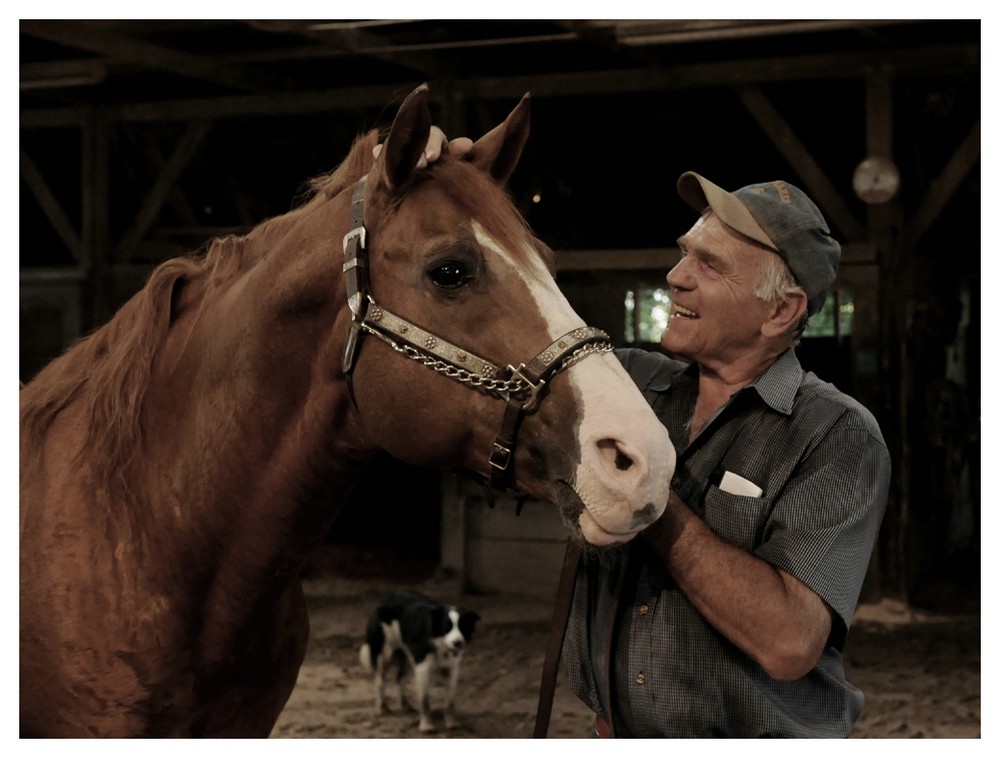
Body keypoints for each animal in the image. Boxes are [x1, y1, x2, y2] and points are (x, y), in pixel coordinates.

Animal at [360, 592, 480, 732]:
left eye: (463, 627)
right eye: (446, 627)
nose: (458, 643)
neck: (438, 643)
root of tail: (386, 597)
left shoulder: (451, 669)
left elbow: (450, 700)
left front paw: (451, 722)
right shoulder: (423, 668)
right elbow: (424, 699)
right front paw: (426, 725)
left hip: (405, 655)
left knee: (399, 677)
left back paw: (405, 705)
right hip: (385, 653)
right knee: (380, 680)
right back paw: (381, 708)